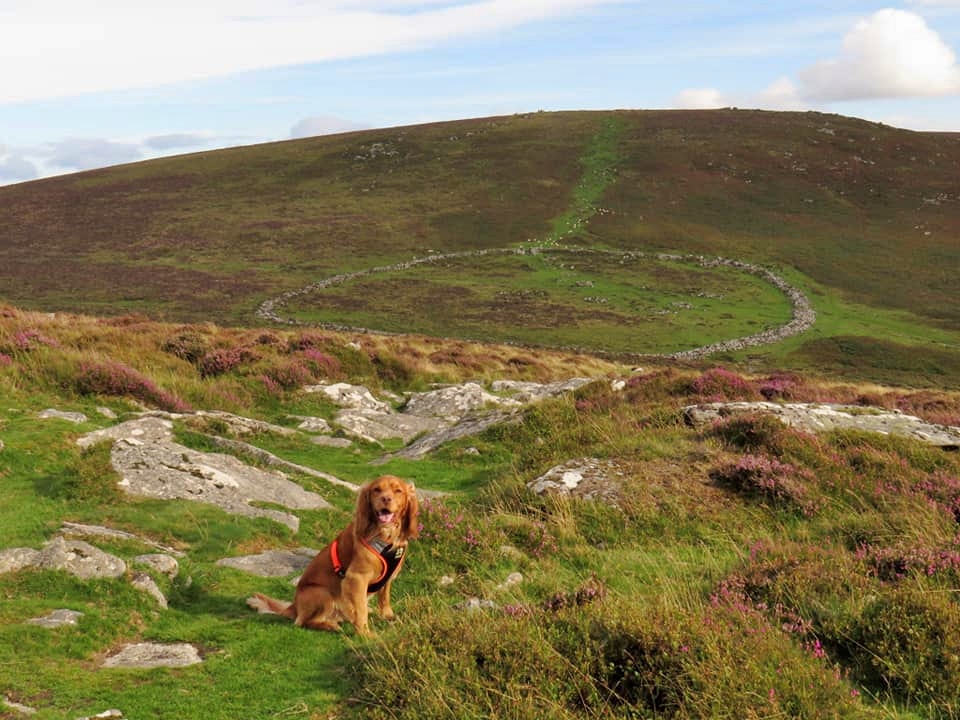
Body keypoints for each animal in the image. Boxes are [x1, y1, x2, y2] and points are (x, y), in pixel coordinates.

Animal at [246, 478, 418, 636]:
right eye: (377, 490)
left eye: (398, 491)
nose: (386, 499)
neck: (386, 536)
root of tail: (294, 606)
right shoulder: (356, 577)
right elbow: (361, 609)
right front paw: (365, 633)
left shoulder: (389, 576)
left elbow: (384, 598)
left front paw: (388, 616)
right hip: (323, 593)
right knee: (304, 622)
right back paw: (330, 626)